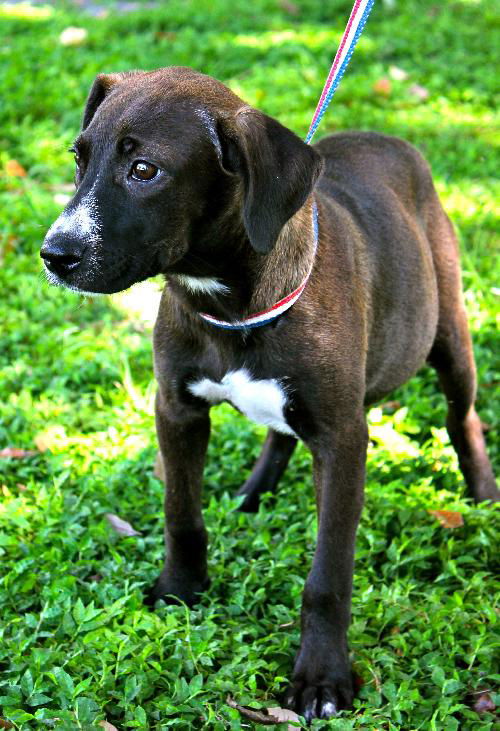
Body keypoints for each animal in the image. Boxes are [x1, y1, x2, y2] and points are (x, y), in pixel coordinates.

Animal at [41, 67, 498, 720]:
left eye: (145, 170)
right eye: (78, 159)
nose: (54, 255)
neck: (230, 302)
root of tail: (389, 138)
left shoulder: (341, 439)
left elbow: (328, 576)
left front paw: (322, 677)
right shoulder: (176, 410)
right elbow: (181, 513)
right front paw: (180, 590)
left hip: (449, 332)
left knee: (464, 419)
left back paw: (483, 496)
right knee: (280, 433)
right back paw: (252, 494)